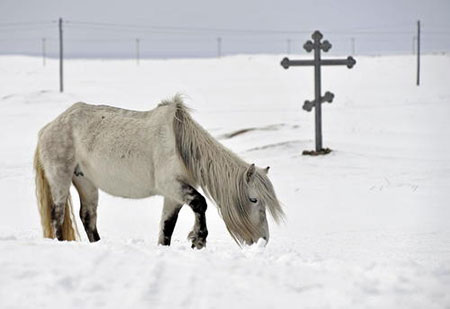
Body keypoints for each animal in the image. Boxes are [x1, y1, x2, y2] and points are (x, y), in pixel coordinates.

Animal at [33, 94, 284, 248]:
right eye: (253, 199)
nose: (263, 239)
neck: (181, 146)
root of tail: (48, 128)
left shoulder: (173, 196)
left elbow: (166, 228)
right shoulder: (172, 186)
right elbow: (201, 204)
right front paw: (198, 240)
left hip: (86, 183)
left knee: (88, 217)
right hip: (61, 178)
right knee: (57, 216)